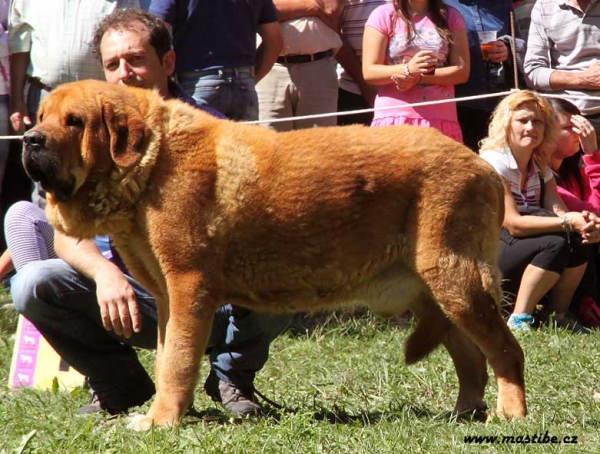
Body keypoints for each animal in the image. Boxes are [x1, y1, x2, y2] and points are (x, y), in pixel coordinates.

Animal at [21, 80, 524, 430]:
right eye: (41, 116)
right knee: (471, 358)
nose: (29, 139)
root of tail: (483, 164)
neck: (152, 164)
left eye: (74, 121)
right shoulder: (166, 299)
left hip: (456, 280)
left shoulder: (188, 289)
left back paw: (510, 415)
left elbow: (178, 360)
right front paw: (161, 414)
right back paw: (463, 413)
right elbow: (165, 360)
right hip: (436, 293)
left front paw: (162, 421)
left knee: (505, 350)